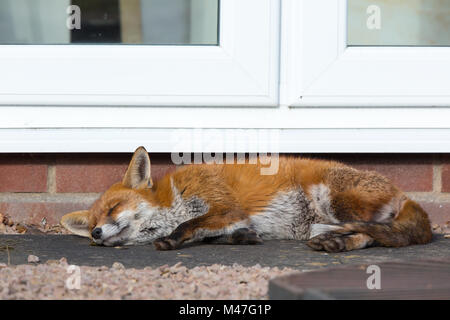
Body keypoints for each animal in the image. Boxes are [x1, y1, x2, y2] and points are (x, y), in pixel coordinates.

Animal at [59, 146, 432, 251]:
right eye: (92, 224)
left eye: (113, 208)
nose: (96, 234)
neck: (174, 199)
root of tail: (403, 193)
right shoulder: (234, 218)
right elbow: (216, 234)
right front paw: (242, 238)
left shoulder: (226, 206)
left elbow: (193, 224)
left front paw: (172, 239)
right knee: (373, 236)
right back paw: (336, 243)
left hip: (336, 202)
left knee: (377, 233)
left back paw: (338, 240)